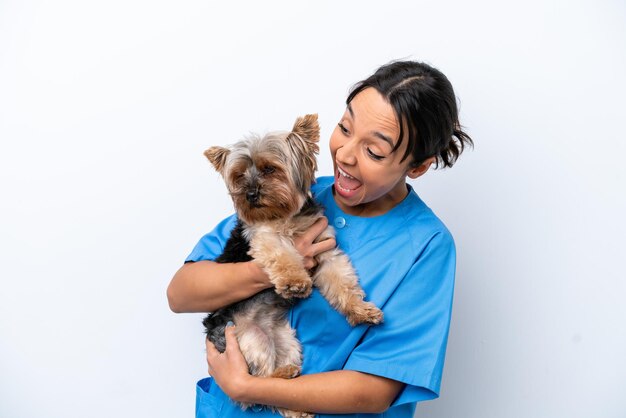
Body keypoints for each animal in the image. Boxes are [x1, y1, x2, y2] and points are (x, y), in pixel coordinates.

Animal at [202, 114, 382, 418]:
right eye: (239, 175)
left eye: (269, 169)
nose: (250, 194)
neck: (284, 216)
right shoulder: (264, 239)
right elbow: (283, 257)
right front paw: (295, 283)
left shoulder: (326, 249)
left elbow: (341, 282)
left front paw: (360, 310)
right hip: (247, 341)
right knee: (253, 382)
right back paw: (282, 376)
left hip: (287, 342)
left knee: (273, 391)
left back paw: (294, 396)